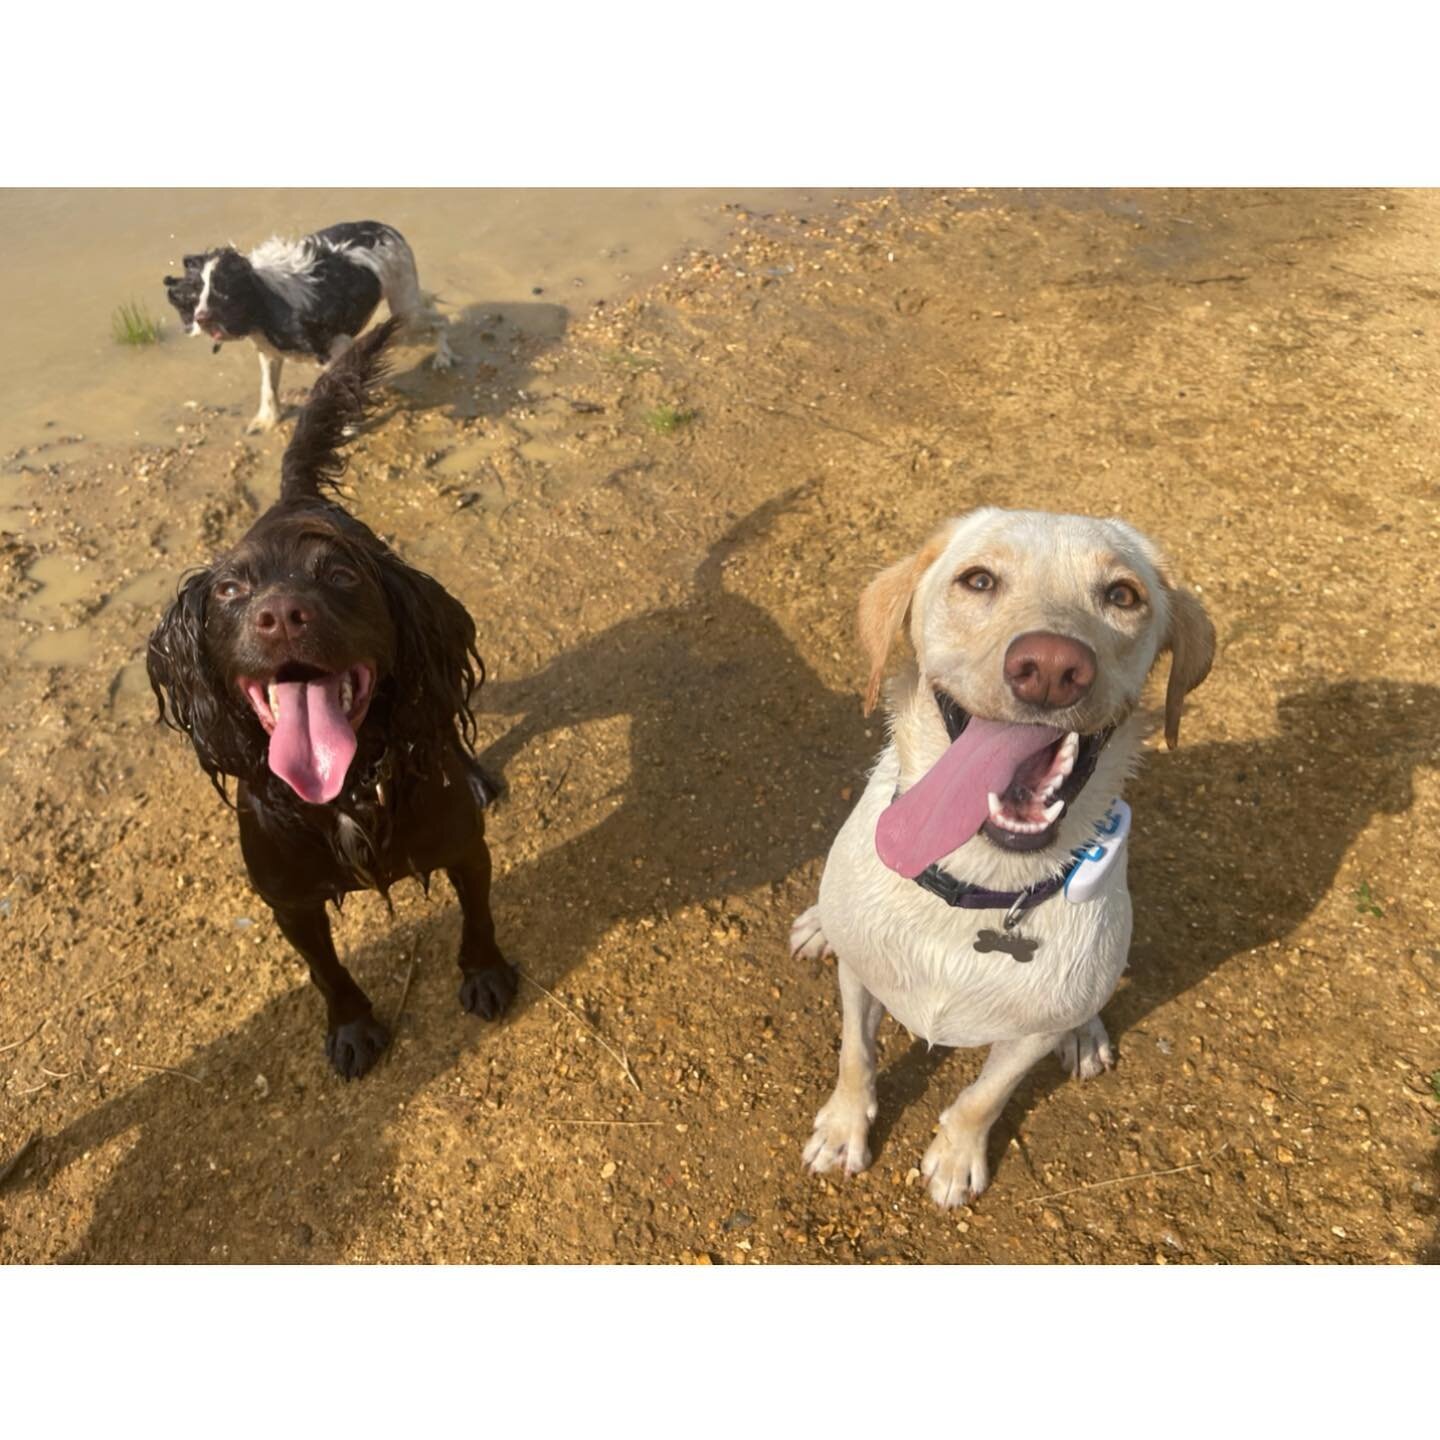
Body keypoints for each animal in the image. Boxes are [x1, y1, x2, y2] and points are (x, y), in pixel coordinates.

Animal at [164, 218, 452, 432]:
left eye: (223, 293)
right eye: (194, 294)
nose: (200, 319)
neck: (264, 300)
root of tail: (385, 228)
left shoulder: (338, 346)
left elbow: (342, 390)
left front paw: (346, 427)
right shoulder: (269, 351)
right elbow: (268, 387)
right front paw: (266, 421)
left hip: (406, 309)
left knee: (441, 319)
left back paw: (444, 358)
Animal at [789, 506, 1215, 1203]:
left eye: (1123, 595)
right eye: (979, 580)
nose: (1051, 666)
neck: (978, 883)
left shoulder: (1030, 1035)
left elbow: (982, 1098)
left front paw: (955, 1159)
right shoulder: (860, 976)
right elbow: (856, 1055)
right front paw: (842, 1131)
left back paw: (1087, 1036)